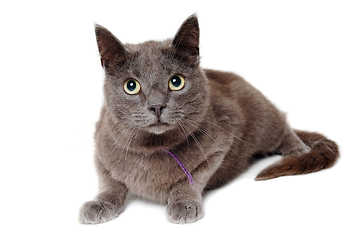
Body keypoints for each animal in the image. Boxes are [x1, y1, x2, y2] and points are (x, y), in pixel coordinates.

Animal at [79, 15, 340, 224]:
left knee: (284, 127)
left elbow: (192, 178)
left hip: (264, 119)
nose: (156, 106)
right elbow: (109, 181)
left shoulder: (220, 145)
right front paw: (100, 203)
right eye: (131, 86)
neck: (153, 148)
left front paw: (183, 204)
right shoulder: (100, 145)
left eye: (176, 82)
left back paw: (297, 150)